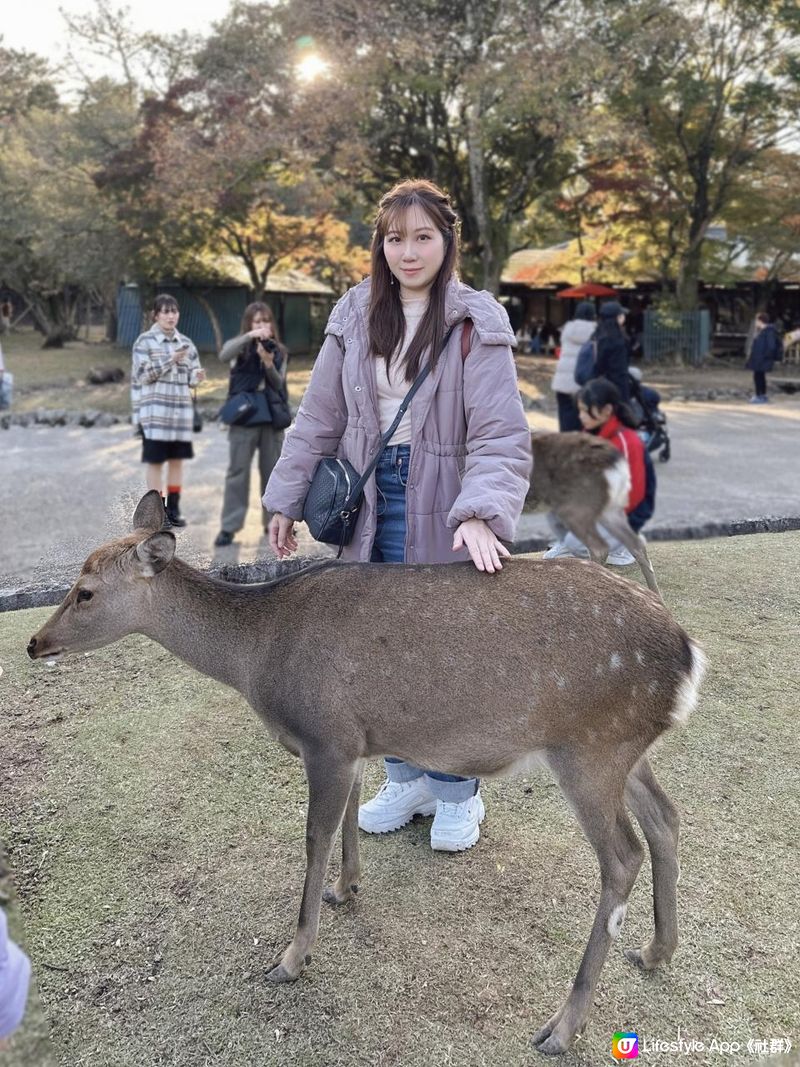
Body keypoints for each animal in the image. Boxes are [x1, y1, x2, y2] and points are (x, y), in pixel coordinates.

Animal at [29, 492, 708, 1058]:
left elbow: (315, 836)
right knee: (667, 818)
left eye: (84, 591)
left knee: (623, 855)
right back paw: (657, 951)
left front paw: (291, 957)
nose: (35, 643)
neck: (257, 657)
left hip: (588, 747)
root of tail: (688, 652)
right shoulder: (354, 740)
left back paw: (561, 1028)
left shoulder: (324, 736)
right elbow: (350, 820)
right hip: (626, 748)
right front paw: (346, 888)